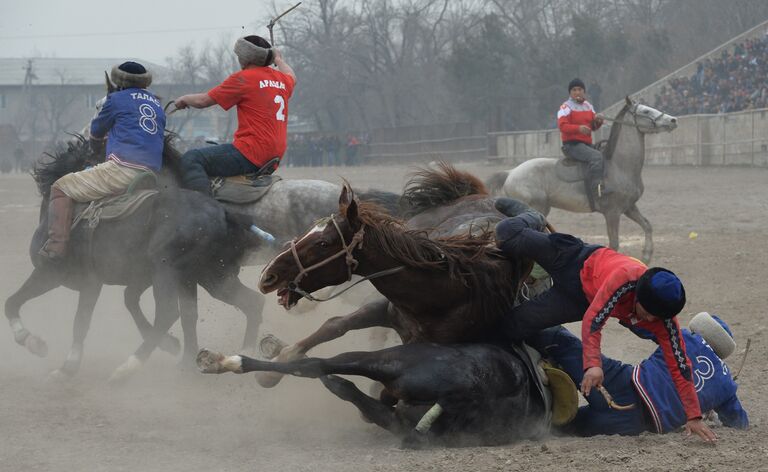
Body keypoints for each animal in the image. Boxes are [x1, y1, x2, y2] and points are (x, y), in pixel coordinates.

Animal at [255, 163, 532, 388]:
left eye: (323, 243)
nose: (268, 276)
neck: (444, 295)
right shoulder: (383, 306)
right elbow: (334, 325)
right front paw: (273, 370)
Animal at [486, 97, 680, 264]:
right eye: (646, 111)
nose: (673, 120)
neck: (619, 166)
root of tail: (511, 172)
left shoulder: (629, 207)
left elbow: (647, 225)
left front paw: (646, 256)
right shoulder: (612, 212)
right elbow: (614, 243)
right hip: (534, 209)